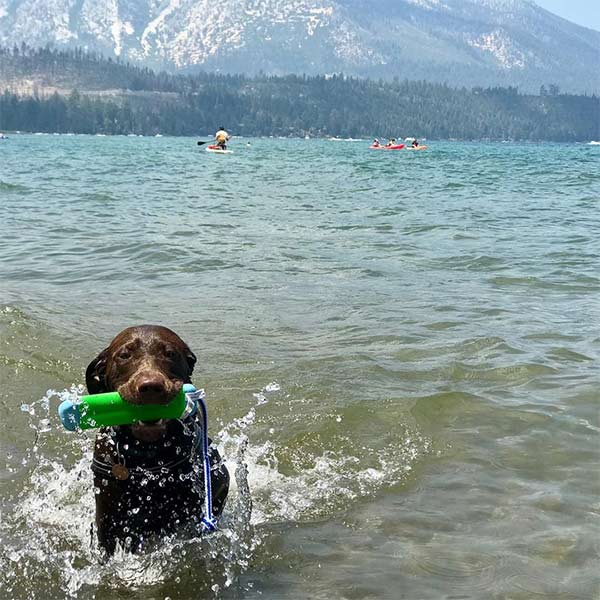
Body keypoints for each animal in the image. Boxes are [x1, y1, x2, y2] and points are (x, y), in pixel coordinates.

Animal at [86, 326, 230, 556]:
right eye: (124, 355)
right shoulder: (107, 521)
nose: (151, 386)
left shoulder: (217, 486)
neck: (149, 459)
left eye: (170, 353)